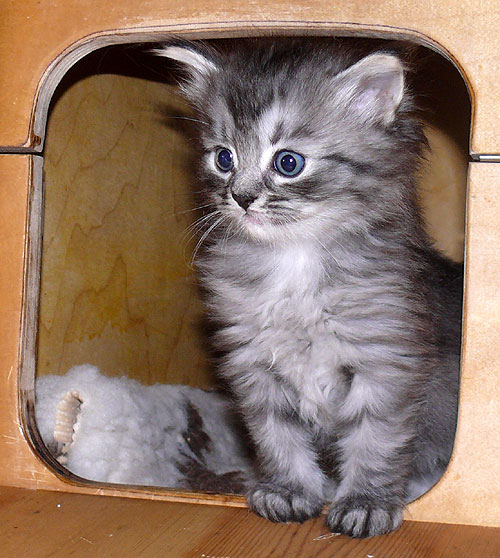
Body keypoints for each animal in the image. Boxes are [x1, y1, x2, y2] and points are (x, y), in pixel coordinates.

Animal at [155, 38, 463, 538]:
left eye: (288, 162)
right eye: (223, 158)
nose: (241, 197)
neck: (294, 263)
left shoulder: (386, 364)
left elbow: (375, 440)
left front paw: (366, 503)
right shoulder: (255, 365)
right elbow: (277, 436)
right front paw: (289, 491)